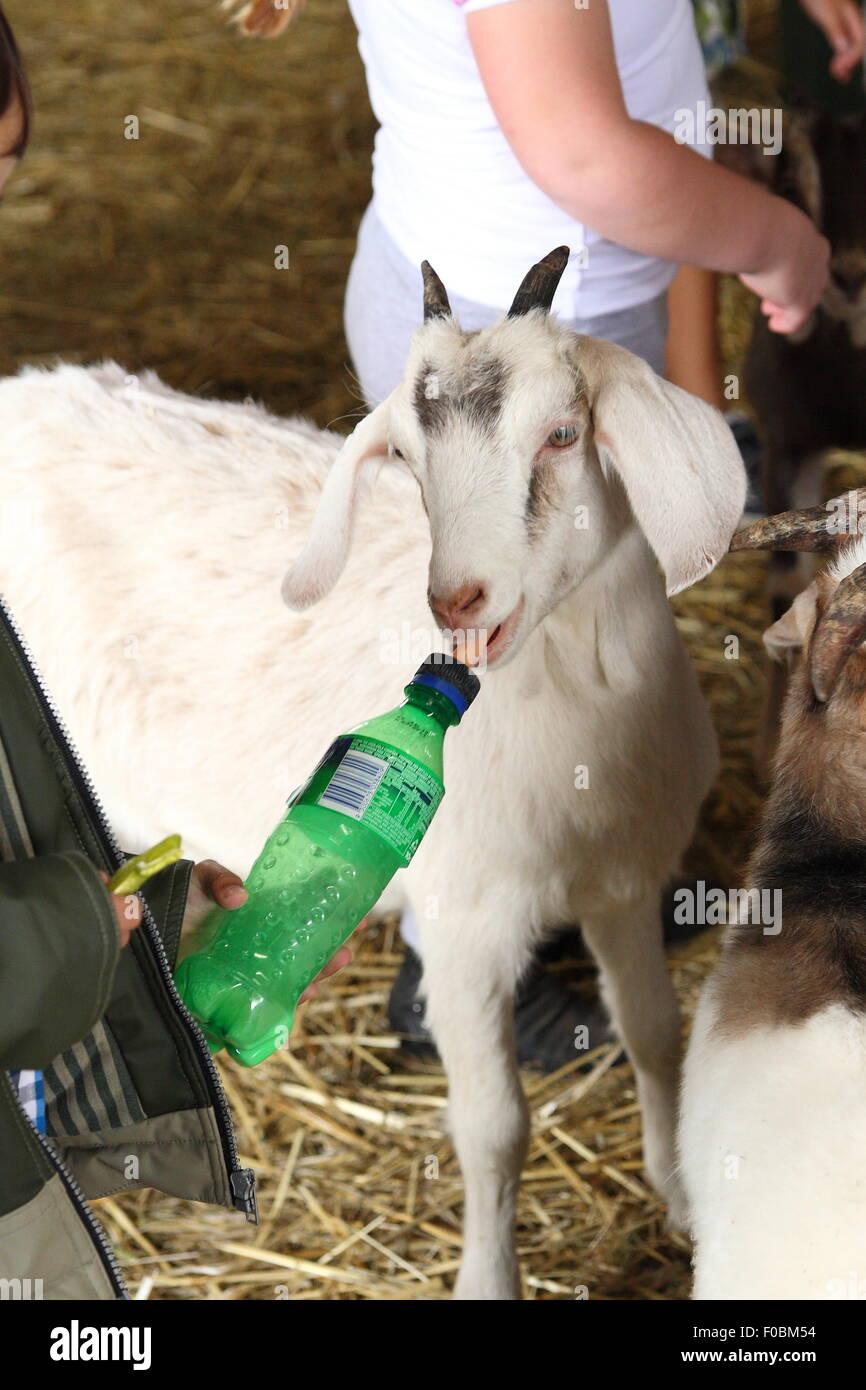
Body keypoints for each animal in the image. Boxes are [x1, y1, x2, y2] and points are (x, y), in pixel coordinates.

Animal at [0, 249, 745, 1298]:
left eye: (563, 435)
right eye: (411, 462)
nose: (457, 598)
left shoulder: (626, 882)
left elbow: (654, 1034)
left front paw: (679, 1195)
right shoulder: (466, 924)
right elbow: (494, 1128)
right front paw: (489, 1281)